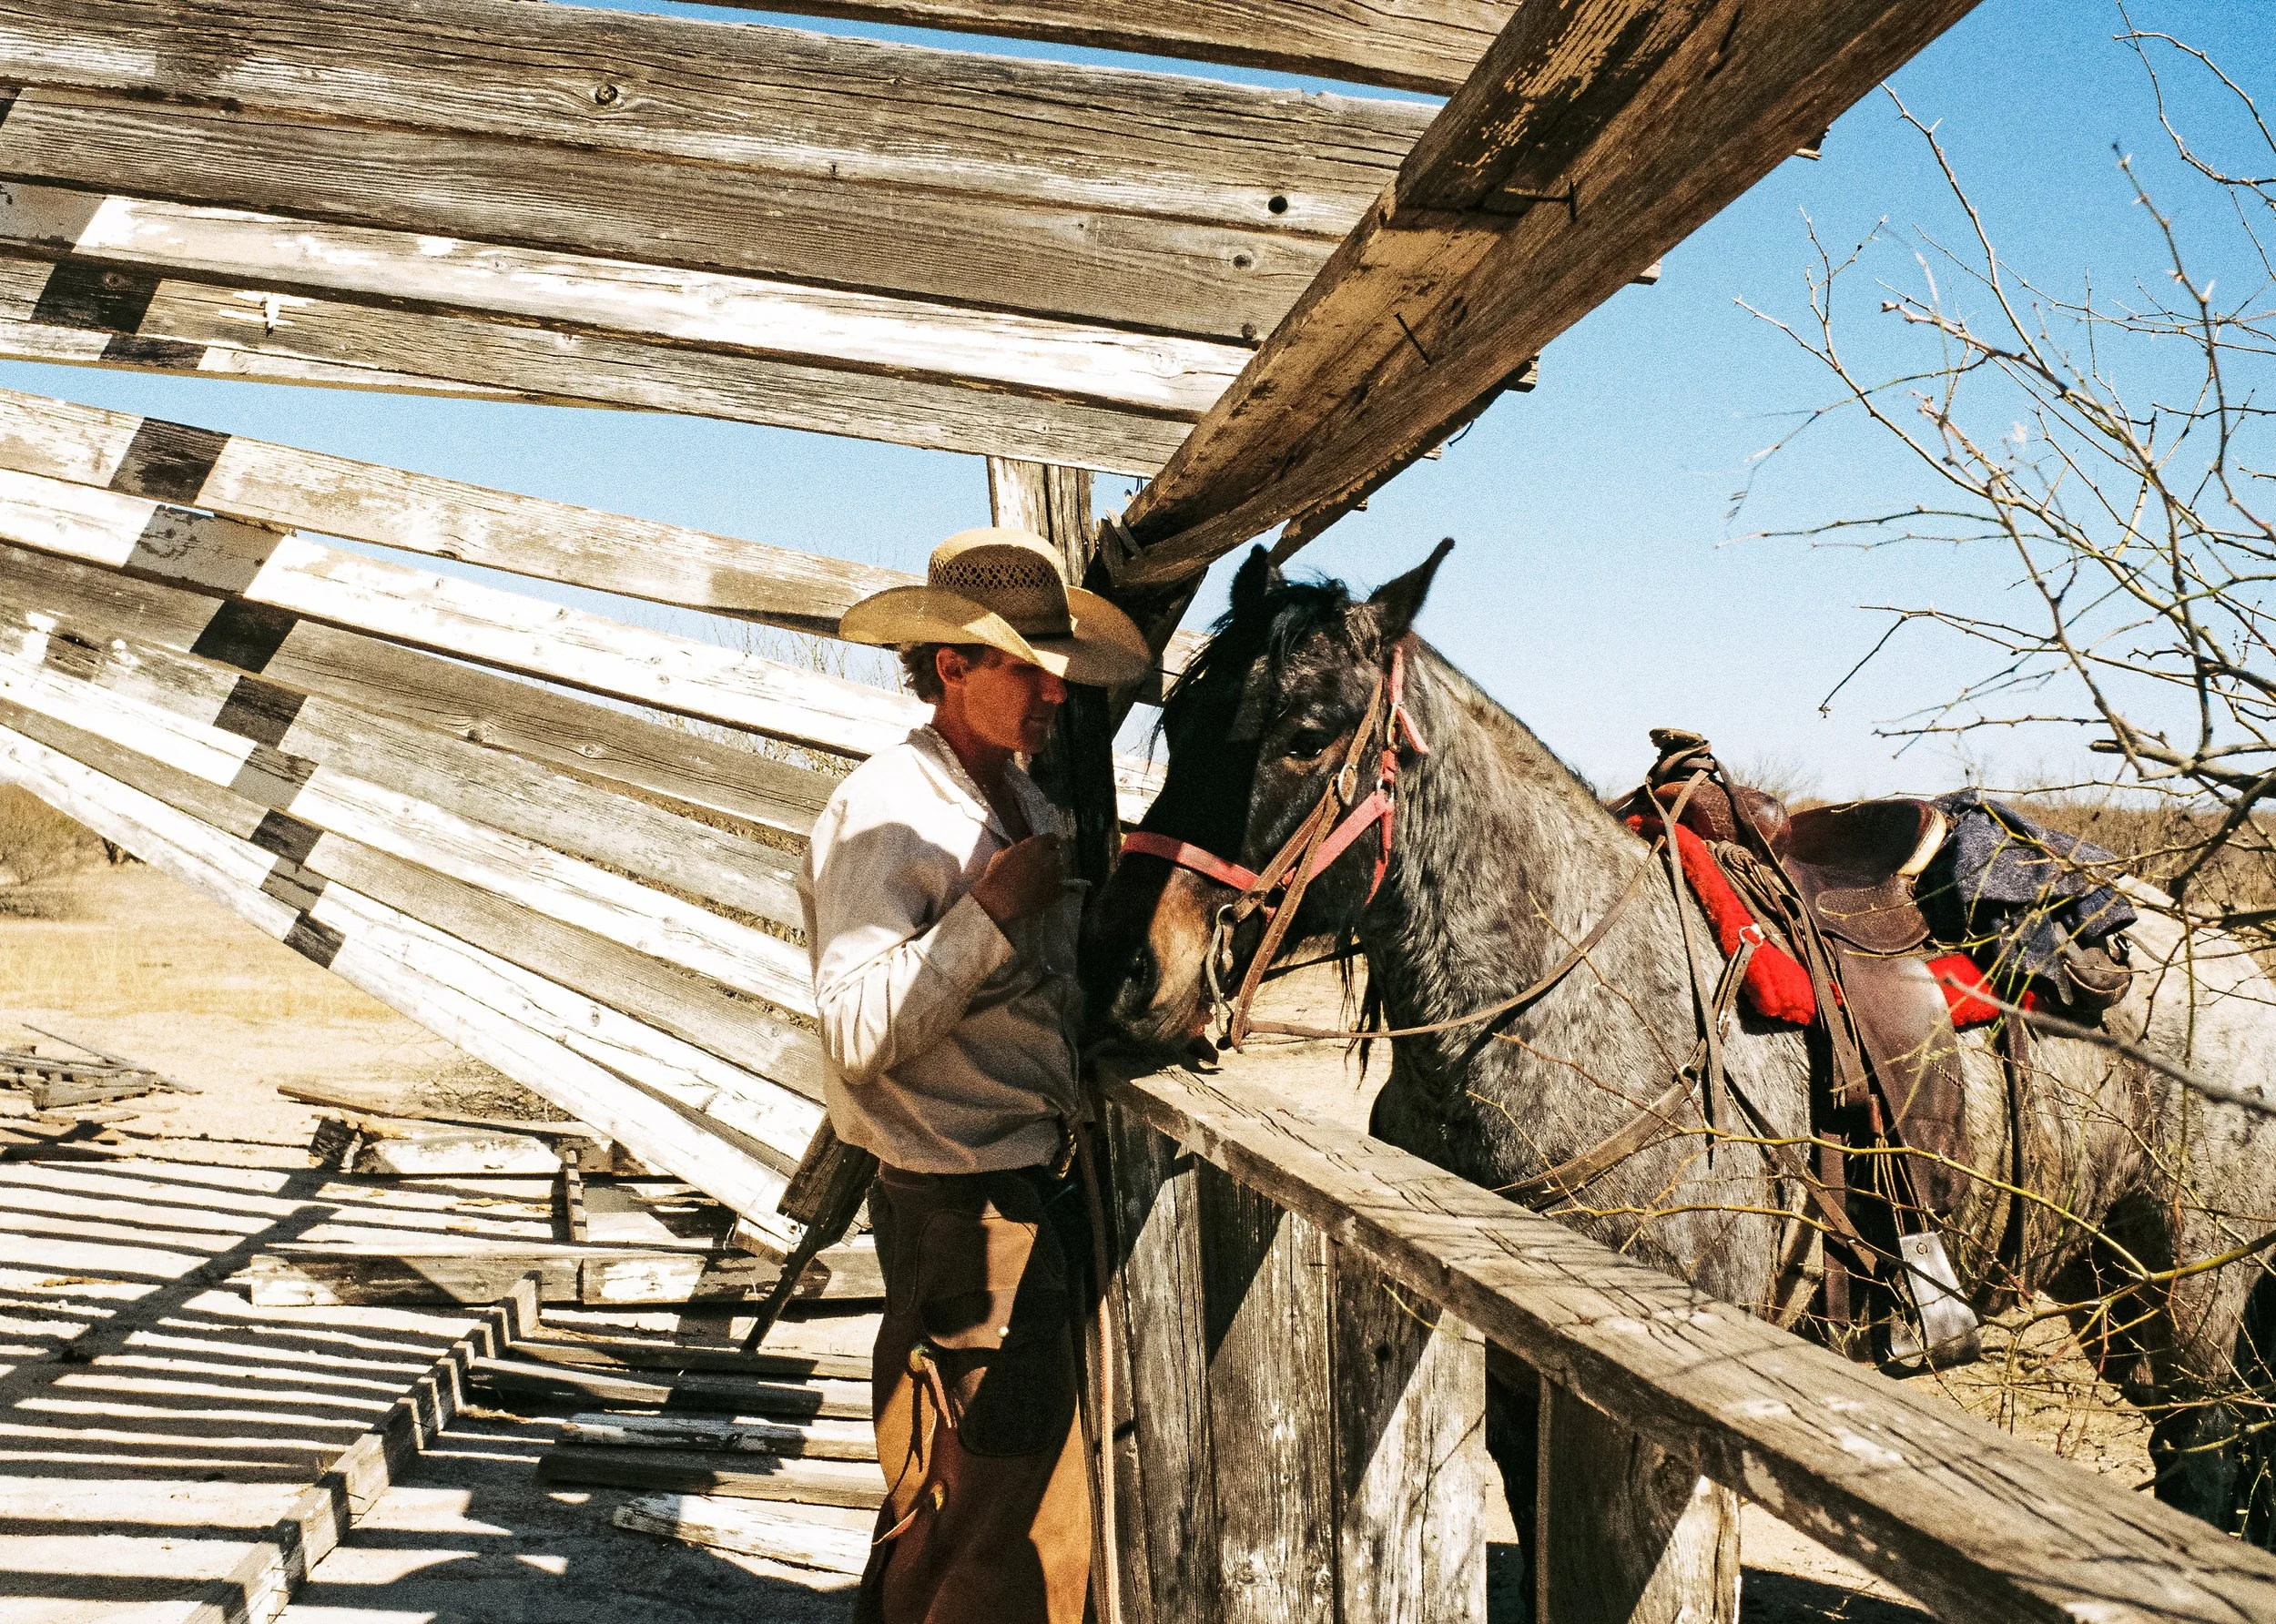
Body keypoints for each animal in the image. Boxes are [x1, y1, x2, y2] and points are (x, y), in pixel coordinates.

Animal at [1084, 542, 2276, 1556]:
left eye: (1306, 733)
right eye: (1175, 722)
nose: (1126, 966)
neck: (1563, 1019)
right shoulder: (1517, 1382)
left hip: (2196, 1318)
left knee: (2210, 1466)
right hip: (2114, 1297)